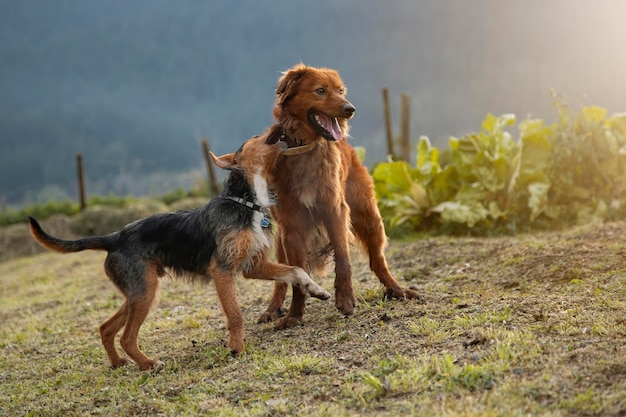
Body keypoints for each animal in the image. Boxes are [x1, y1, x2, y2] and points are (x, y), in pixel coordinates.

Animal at [28, 125, 332, 368]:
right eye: (255, 137)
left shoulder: (252, 265)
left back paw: (118, 363)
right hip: (144, 293)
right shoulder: (222, 270)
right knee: (127, 336)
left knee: (105, 327)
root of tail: (114, 237)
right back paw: (148, 364)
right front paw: (237, 348)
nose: (278, 125)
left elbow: (295, 270)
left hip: (140, 291)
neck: (246, 201)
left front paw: (317, 290)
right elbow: (235, 314)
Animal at [258, 63, 420, 328]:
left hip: (370, 219)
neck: (306, 147)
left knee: (377, 261)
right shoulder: (291, 227)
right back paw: (273, 309)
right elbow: (297, 278)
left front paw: (345, 300)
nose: (350, 109)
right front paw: (294, 315)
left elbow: (343, 260)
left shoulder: (335, 211)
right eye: (320, 90)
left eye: (341, 91)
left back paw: (398, 290)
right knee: (282, 279)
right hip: (281, 239)